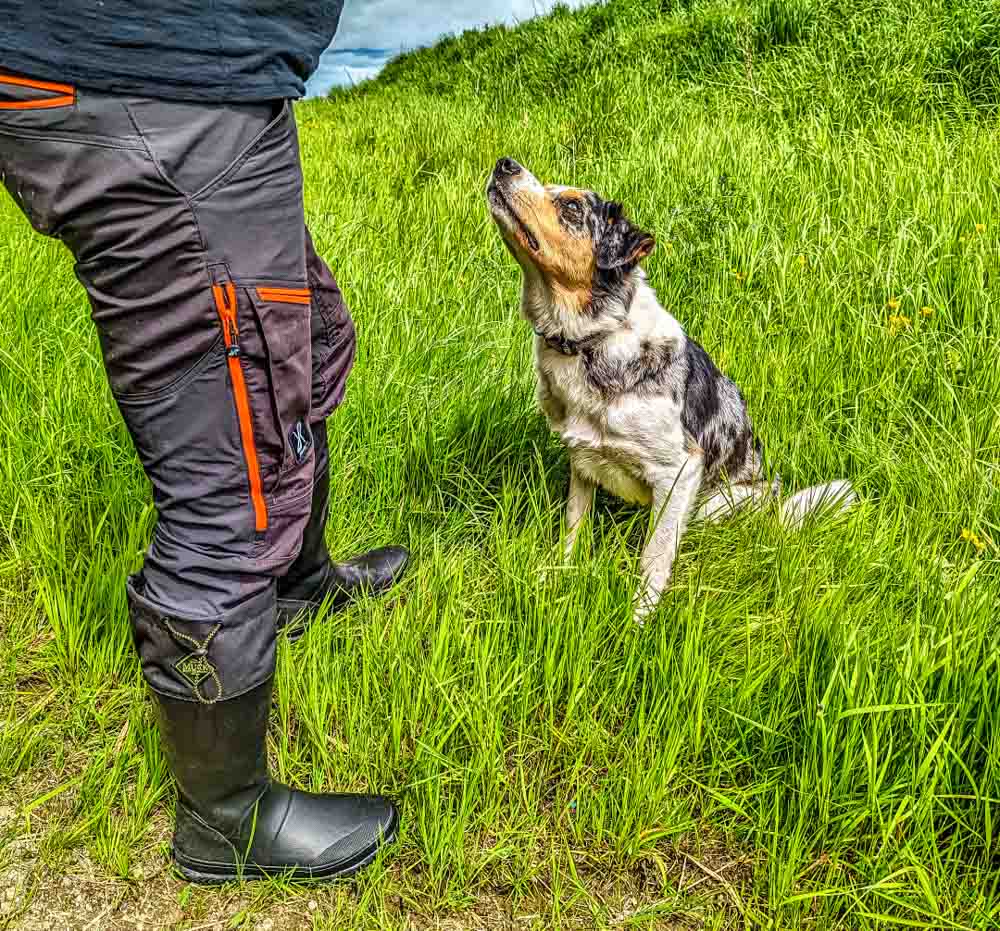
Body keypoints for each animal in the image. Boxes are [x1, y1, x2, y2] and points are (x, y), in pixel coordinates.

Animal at [488, 157, 856, 624]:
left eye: (571, 206)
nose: (505, 164)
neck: (590, 341)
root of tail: (774, 507)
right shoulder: (582, 462)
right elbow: (573, 529)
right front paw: (558, 578)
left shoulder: (679, 471)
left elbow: (655, 557)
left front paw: (638, 619)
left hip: (720, 503)